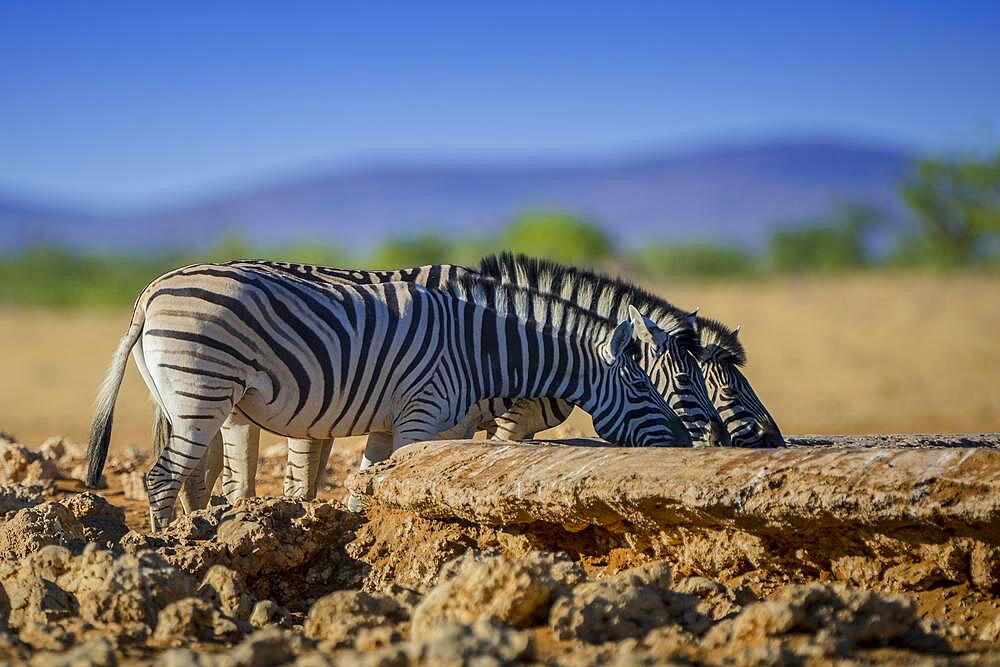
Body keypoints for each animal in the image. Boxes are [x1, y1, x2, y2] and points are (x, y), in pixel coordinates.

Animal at [88, 264, 688, 528]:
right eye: (642, 386)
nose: (685, 442)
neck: (481, 349)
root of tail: (151, 289)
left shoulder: (389, 422)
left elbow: (367, 485)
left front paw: (360, 540)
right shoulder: (422, 416)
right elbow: (402, 485)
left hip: (187, 404)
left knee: (186, 476)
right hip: (202, 396)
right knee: (162, 478)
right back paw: (171, 552)